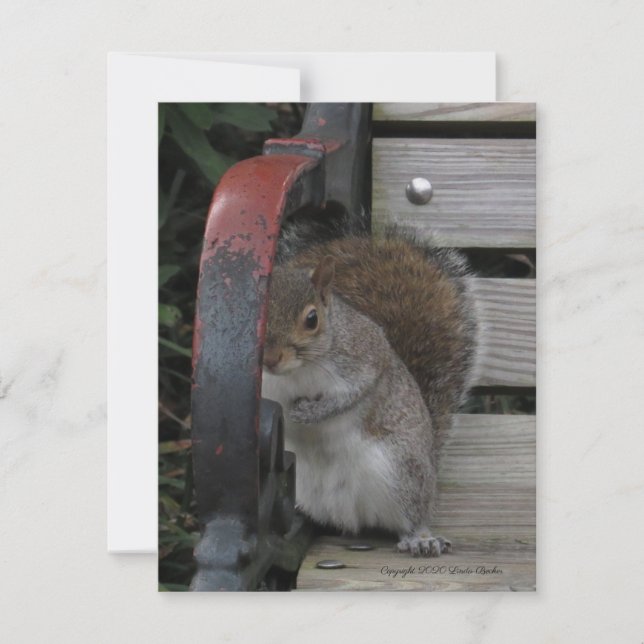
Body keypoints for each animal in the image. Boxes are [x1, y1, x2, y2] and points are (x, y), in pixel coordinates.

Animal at [261, 226, 478, 557]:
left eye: (312, 319)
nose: (271, 358)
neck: (295, 372)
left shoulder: (363, 358)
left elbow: (353, 393)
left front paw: (311, 412)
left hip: (401, 472)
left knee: (413, 515)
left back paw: (420, 538)